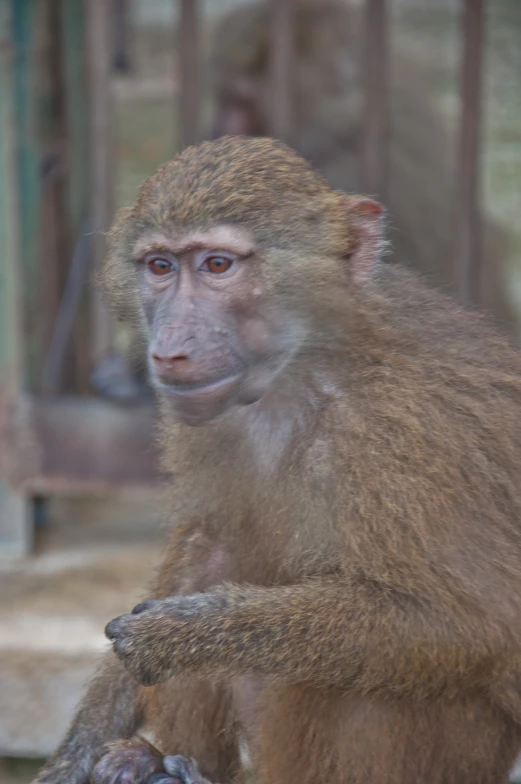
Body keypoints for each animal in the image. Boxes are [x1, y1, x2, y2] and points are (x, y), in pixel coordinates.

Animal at [30, 135, 520, 784]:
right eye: (160, 267)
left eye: (218, 266)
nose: (169, 350)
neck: (302, 371)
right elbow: (204, 537)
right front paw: (76, 755)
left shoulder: (403, 435)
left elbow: (471, 624)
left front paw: (180, 634)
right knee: (215, 551)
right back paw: (165, 764)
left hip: (459, 754)